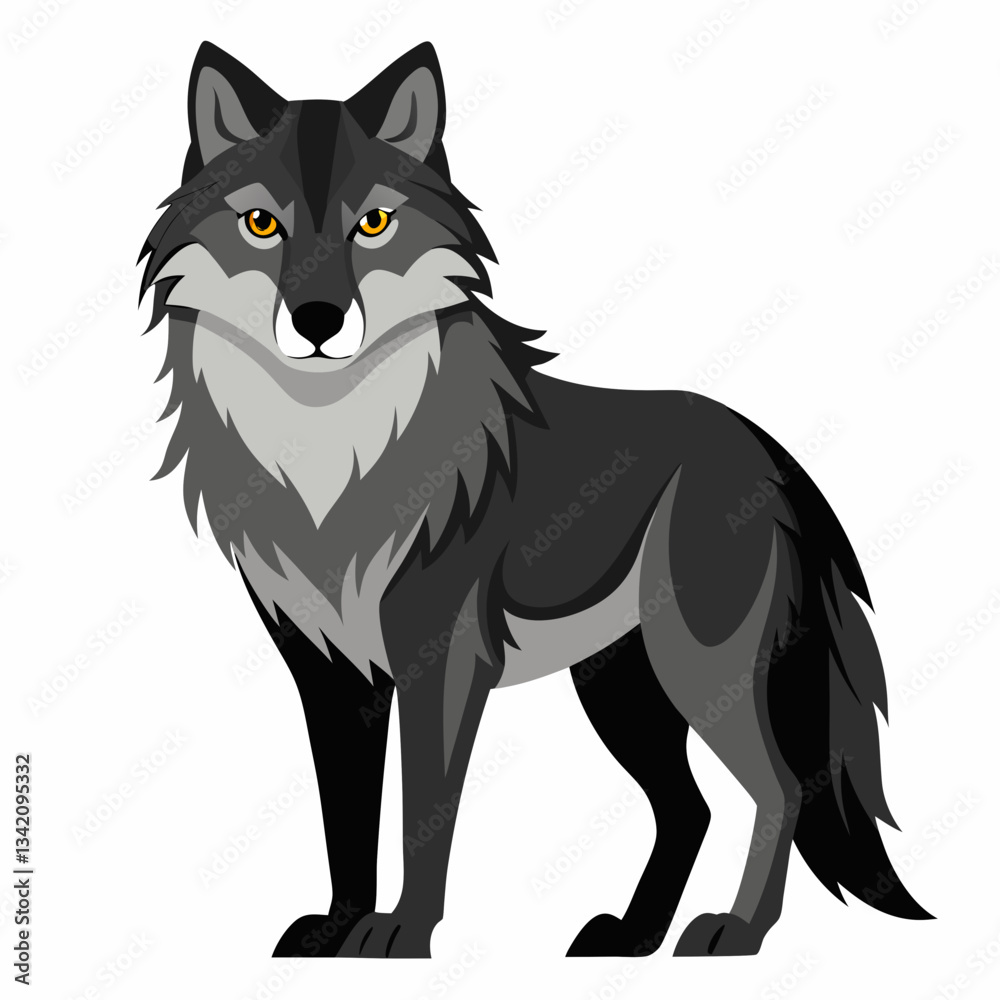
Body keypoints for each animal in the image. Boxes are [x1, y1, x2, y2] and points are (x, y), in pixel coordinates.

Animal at [139, 40, 931, 958]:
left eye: (373, 224)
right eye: (262, 224)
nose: (318, 320)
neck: (328, 452)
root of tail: (765, 448)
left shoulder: (438, 661)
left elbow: (422, 816)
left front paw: (401, 933)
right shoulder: (330, 674)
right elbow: (347, 821)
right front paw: (338, 928)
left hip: (701, 670)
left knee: (781, 790)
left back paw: (734, 932)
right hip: (622, 688)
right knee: (689, 808)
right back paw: (633, 934)